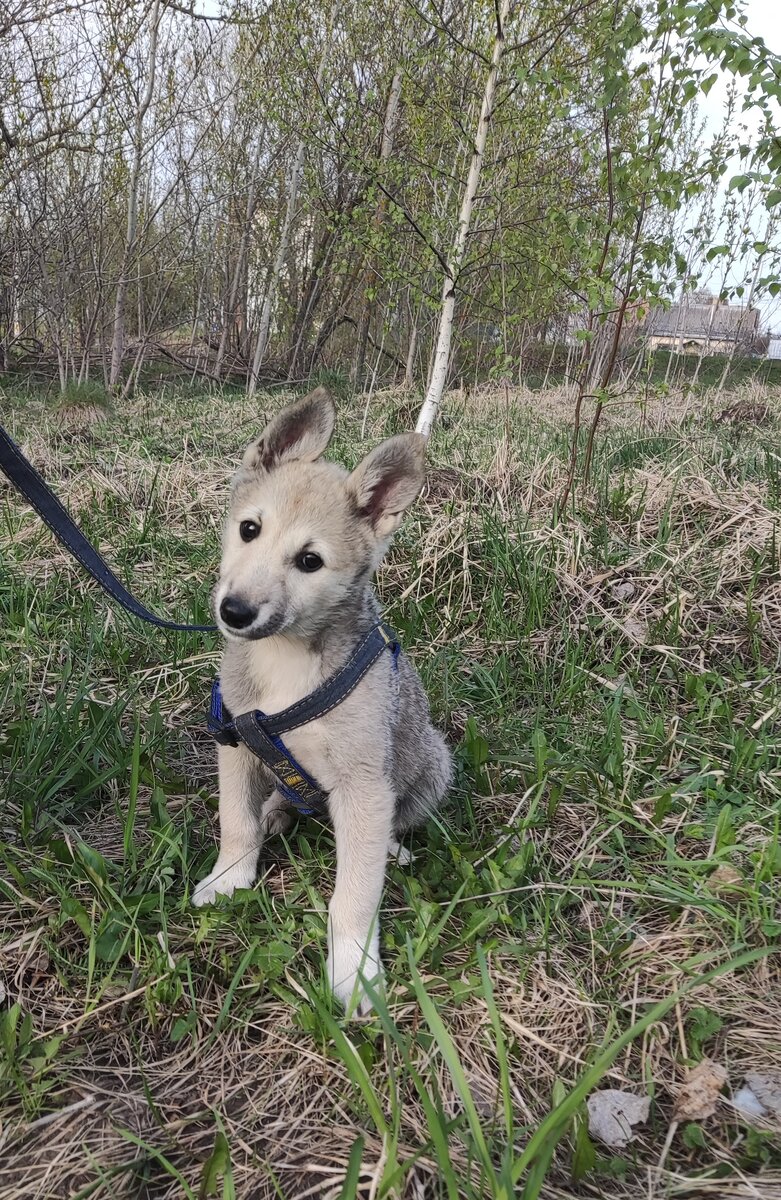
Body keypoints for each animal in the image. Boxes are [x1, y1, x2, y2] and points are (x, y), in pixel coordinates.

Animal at [190, 386, 455, 1012]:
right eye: (249, 529)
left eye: (310, 561)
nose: (234, 611)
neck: (287, 659)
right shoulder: (235, 744)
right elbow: (234, 820)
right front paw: (230, 878)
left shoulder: (362, 783)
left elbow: (353, 895)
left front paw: (354, 968)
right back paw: (276, 813)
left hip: (433, 764)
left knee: (395, 823)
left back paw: (389, 849)